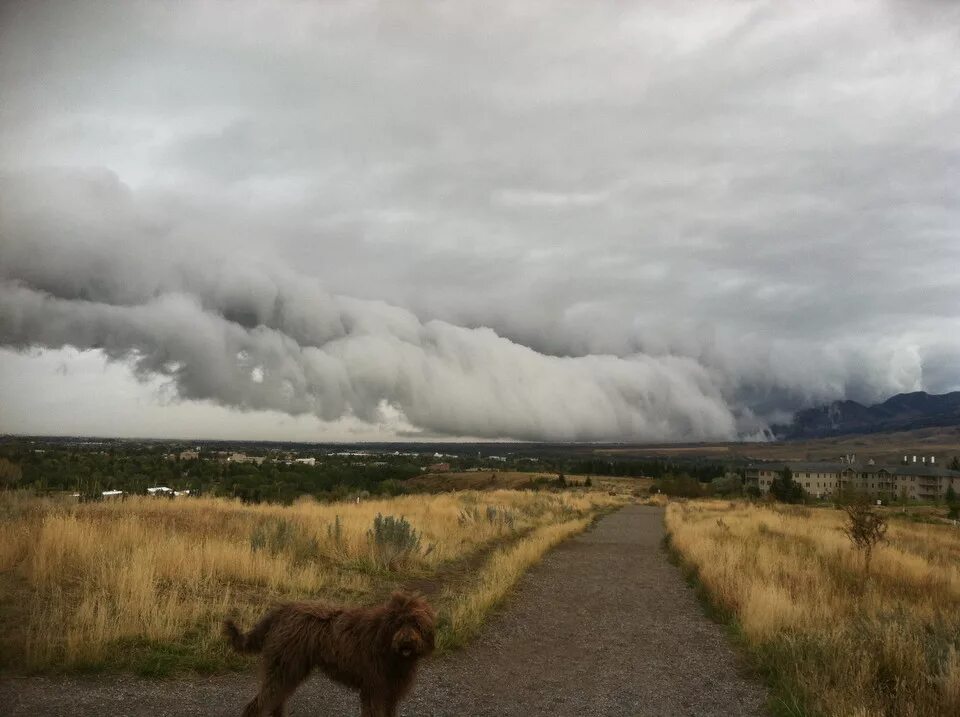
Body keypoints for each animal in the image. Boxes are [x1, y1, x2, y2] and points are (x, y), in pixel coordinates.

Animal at [225, 592, 436, 716]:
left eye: (416, 624)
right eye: (399, 623)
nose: (407, 641)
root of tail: (282, 610)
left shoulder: (390, 693)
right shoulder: (375, 689)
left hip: (289, 670)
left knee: (275, 702)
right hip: (283, 669)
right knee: (257, 705)